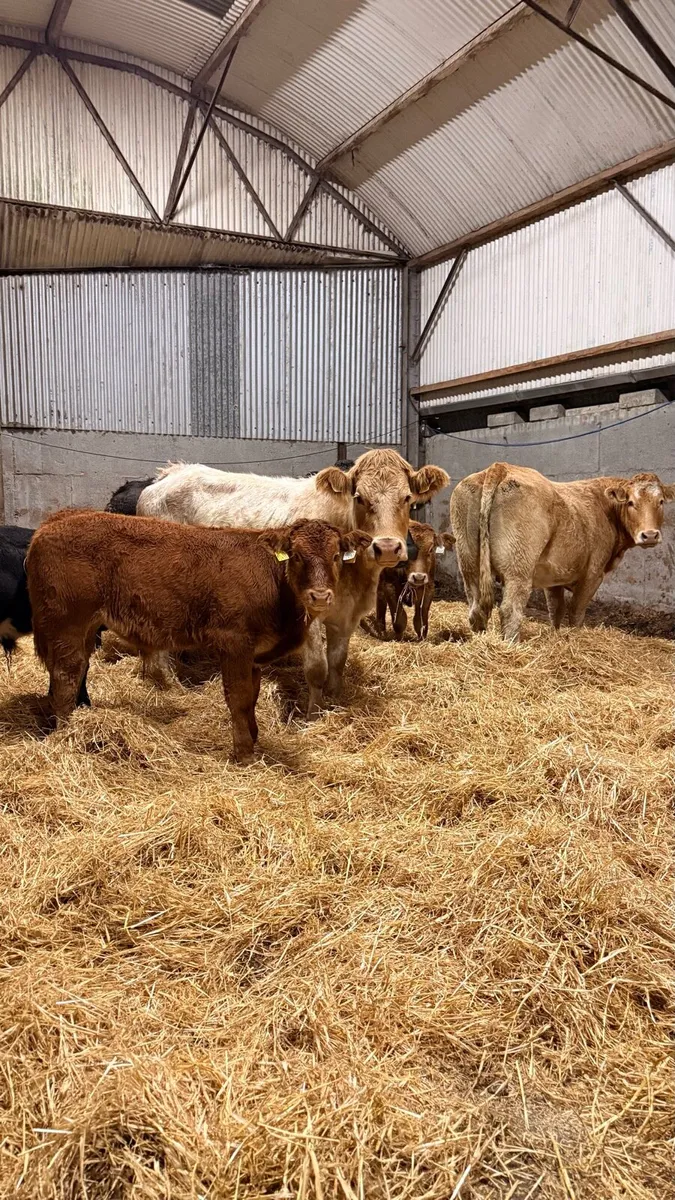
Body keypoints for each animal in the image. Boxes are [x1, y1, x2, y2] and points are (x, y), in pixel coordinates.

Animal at [26, 511, 372, 763]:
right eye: (297, 555)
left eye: (337, 555)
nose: (320, 596)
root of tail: (56, 520)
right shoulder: (234, 643)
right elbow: (239, 697)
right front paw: (244, 754)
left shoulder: (254, 654)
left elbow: (252, 697)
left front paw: (254, 738)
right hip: (66, 625)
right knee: (66, 676)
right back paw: (68, 734)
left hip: (83, 630)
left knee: (75, 671)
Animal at [136, 450, 450, 706]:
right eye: (360, 498)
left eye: (407, 499)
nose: (386, 547)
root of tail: (172, 473)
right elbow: (317, 667)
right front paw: (315, 712)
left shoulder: (347, 613)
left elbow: (337, 662)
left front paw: (334, 700)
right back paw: (165, 680)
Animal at [451, 463, 675, 642]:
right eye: (630, 503)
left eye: (661, 501)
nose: (650, 535)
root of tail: (501, 467)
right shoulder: (593, 573)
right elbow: (576, 611)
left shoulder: (553, 577)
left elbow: (556, 610)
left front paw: (556, 637)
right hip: (518, 570)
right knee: (510, 610)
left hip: (469, 565)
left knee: (476, 608)